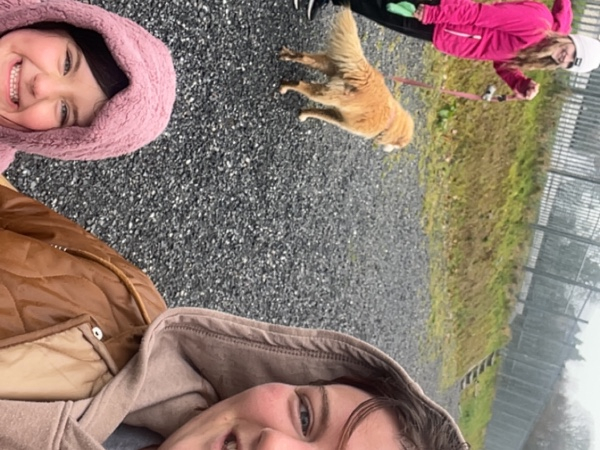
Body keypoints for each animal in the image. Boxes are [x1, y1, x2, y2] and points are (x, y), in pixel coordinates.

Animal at [278, 8, 414, 152]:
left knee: (303, 58)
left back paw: (286, 55)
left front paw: (303, 113)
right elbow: (319, 114)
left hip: (327, 66)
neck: (390, 121)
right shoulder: (342, 122)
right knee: (300, 84)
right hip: (323, 94)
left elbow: (315, 112)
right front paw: (303, 116)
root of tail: (364, 75)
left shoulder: (338, 114)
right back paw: (284, 87)